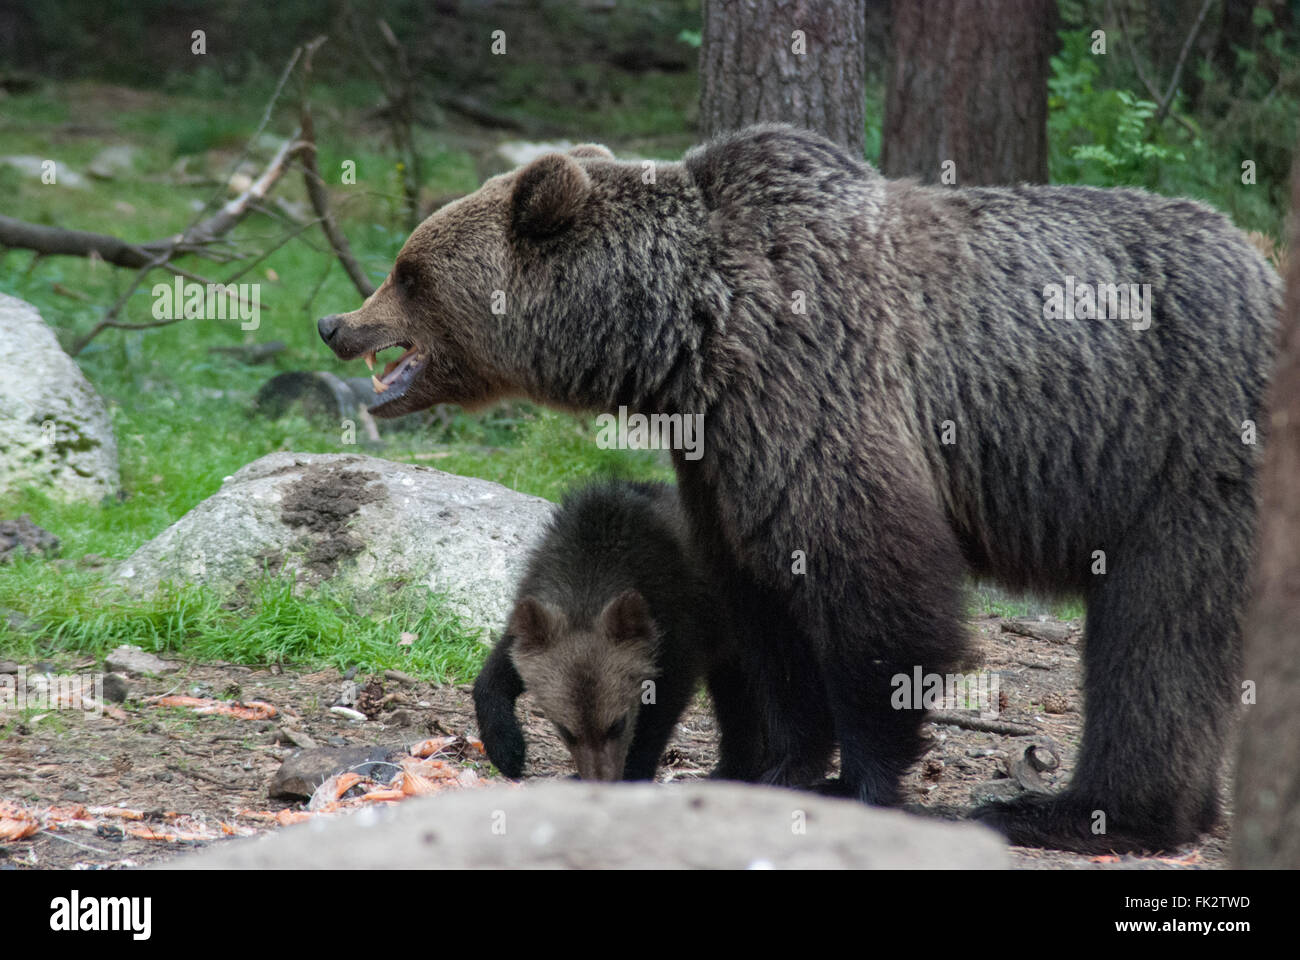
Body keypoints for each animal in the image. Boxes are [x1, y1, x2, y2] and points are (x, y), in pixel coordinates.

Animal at [472, 478, 756, 781]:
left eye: (617, 724)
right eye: (566, 730)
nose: (600, 778)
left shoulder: (679, 633)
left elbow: (659, 715)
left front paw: (633, 771)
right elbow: (498, 670)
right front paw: (507, 748)